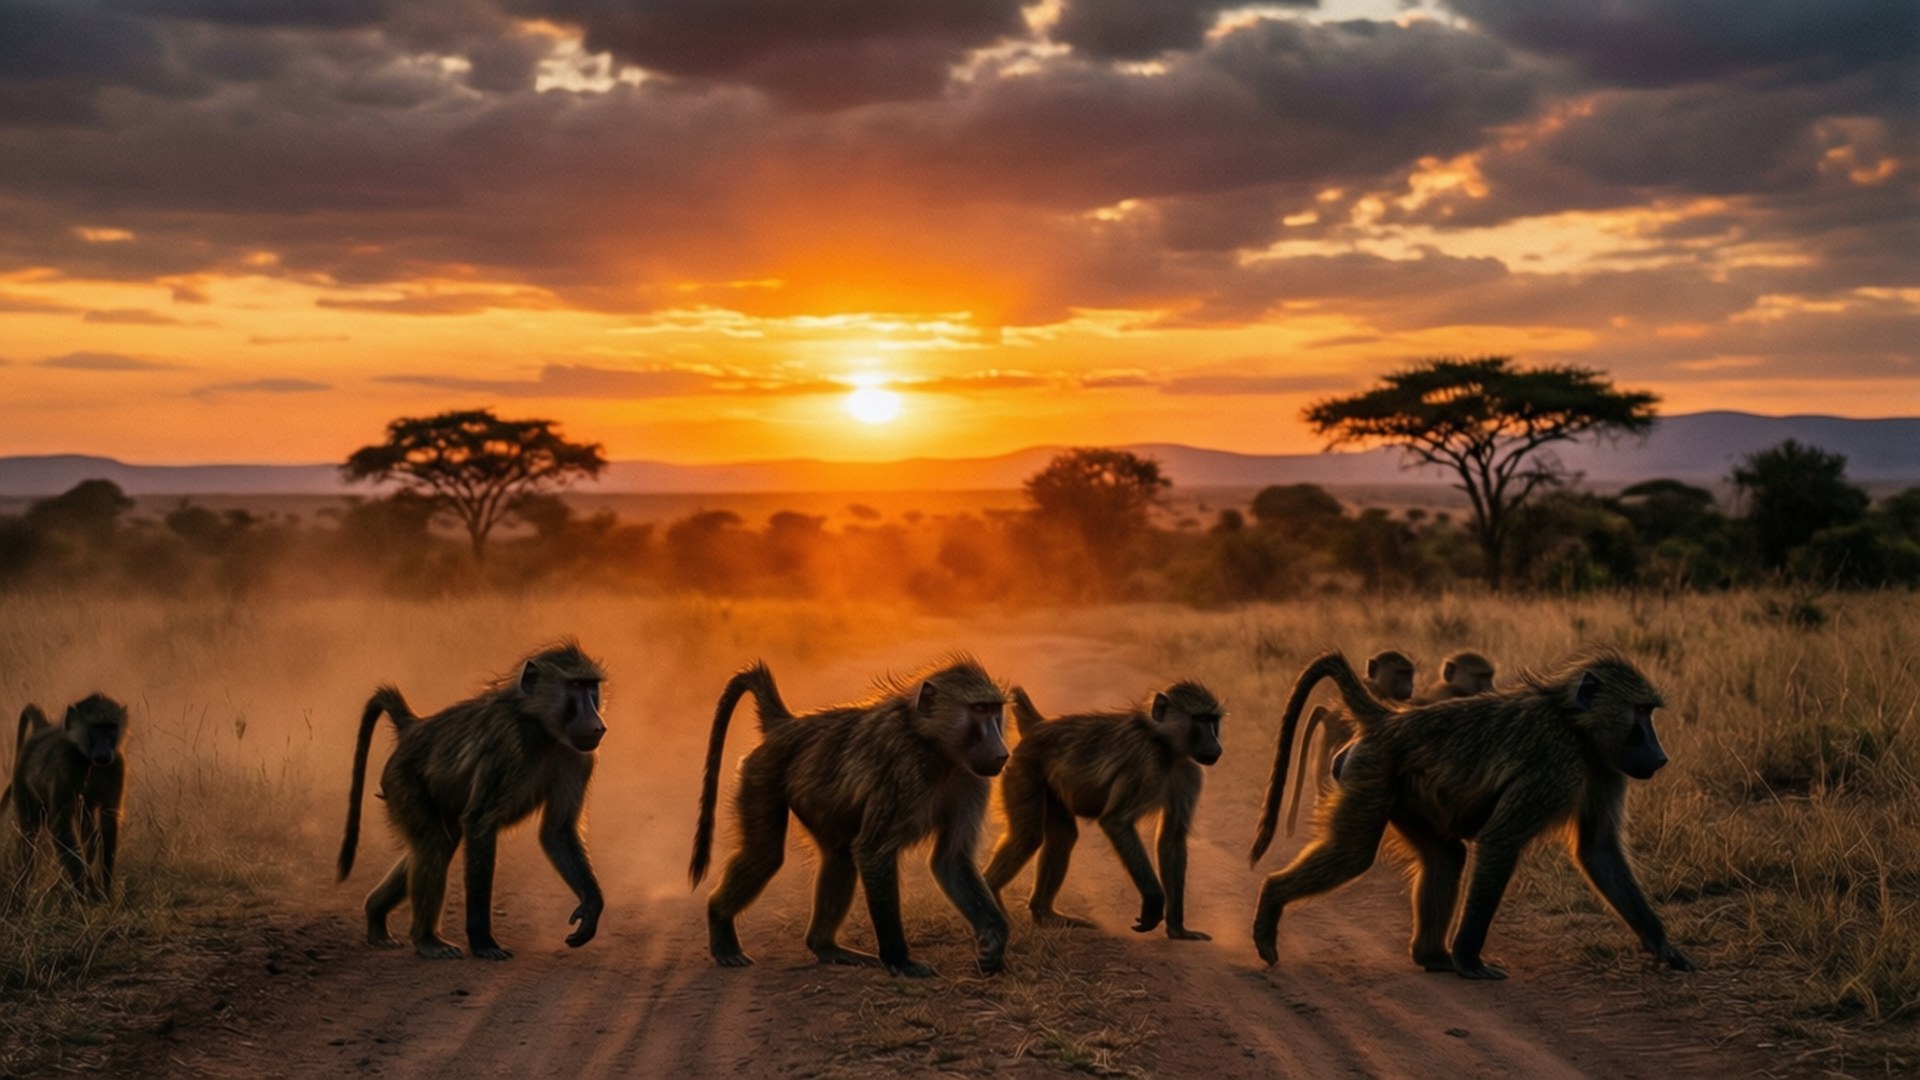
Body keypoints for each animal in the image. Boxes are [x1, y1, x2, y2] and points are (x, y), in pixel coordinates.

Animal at [4, 696, 128, 900]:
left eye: (110, 728)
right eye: (96, 729)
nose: (104, 751)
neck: (87, 761)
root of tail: (42, 730)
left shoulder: (117, 765)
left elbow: (108, 820)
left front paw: (104, 888)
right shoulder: (64, 764)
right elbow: (60, 825)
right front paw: (86, 889)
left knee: (88, 826)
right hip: (22, 781)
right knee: (29, 836)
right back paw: (22, 890)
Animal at [337, 642, 607, 960]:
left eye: (591, 688)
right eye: (576, 686)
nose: (598, 725)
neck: (540, 729)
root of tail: (413, 727)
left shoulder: (578, 758)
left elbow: (558, 832)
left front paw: (591, 908)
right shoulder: (506, 745)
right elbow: (480, 823)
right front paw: (482, 941)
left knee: (441, 842)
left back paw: (376, 917)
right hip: (402, 782)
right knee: (434, 843)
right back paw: (427, 939)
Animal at [690, 657, 1011, 978]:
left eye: (995, 711)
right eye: (979, 710)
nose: (1002, 753)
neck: (934, 747)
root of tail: (786, 725)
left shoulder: (970, 779)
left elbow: (951, 859)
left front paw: (993, 940)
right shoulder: (902, 770)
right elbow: (873, 852)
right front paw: (899, 961)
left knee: (839, 856)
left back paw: (826, 947)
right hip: (762, 775)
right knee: (765, 856)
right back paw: (720, 924)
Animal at [982, 681, 1223, 940]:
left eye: (1213, 721)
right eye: (1200, 719)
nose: (1217, 747)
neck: (1166, 747)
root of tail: (1039, 725)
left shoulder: (1189, 772)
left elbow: (1172, 838)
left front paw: (1178, 929)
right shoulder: (1145, 763)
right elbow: (1117, 822)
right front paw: (1153, 903)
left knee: (1062, 837)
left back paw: (1045, 914)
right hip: (1025, 768)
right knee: (1027, 837)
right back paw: (992, 893)